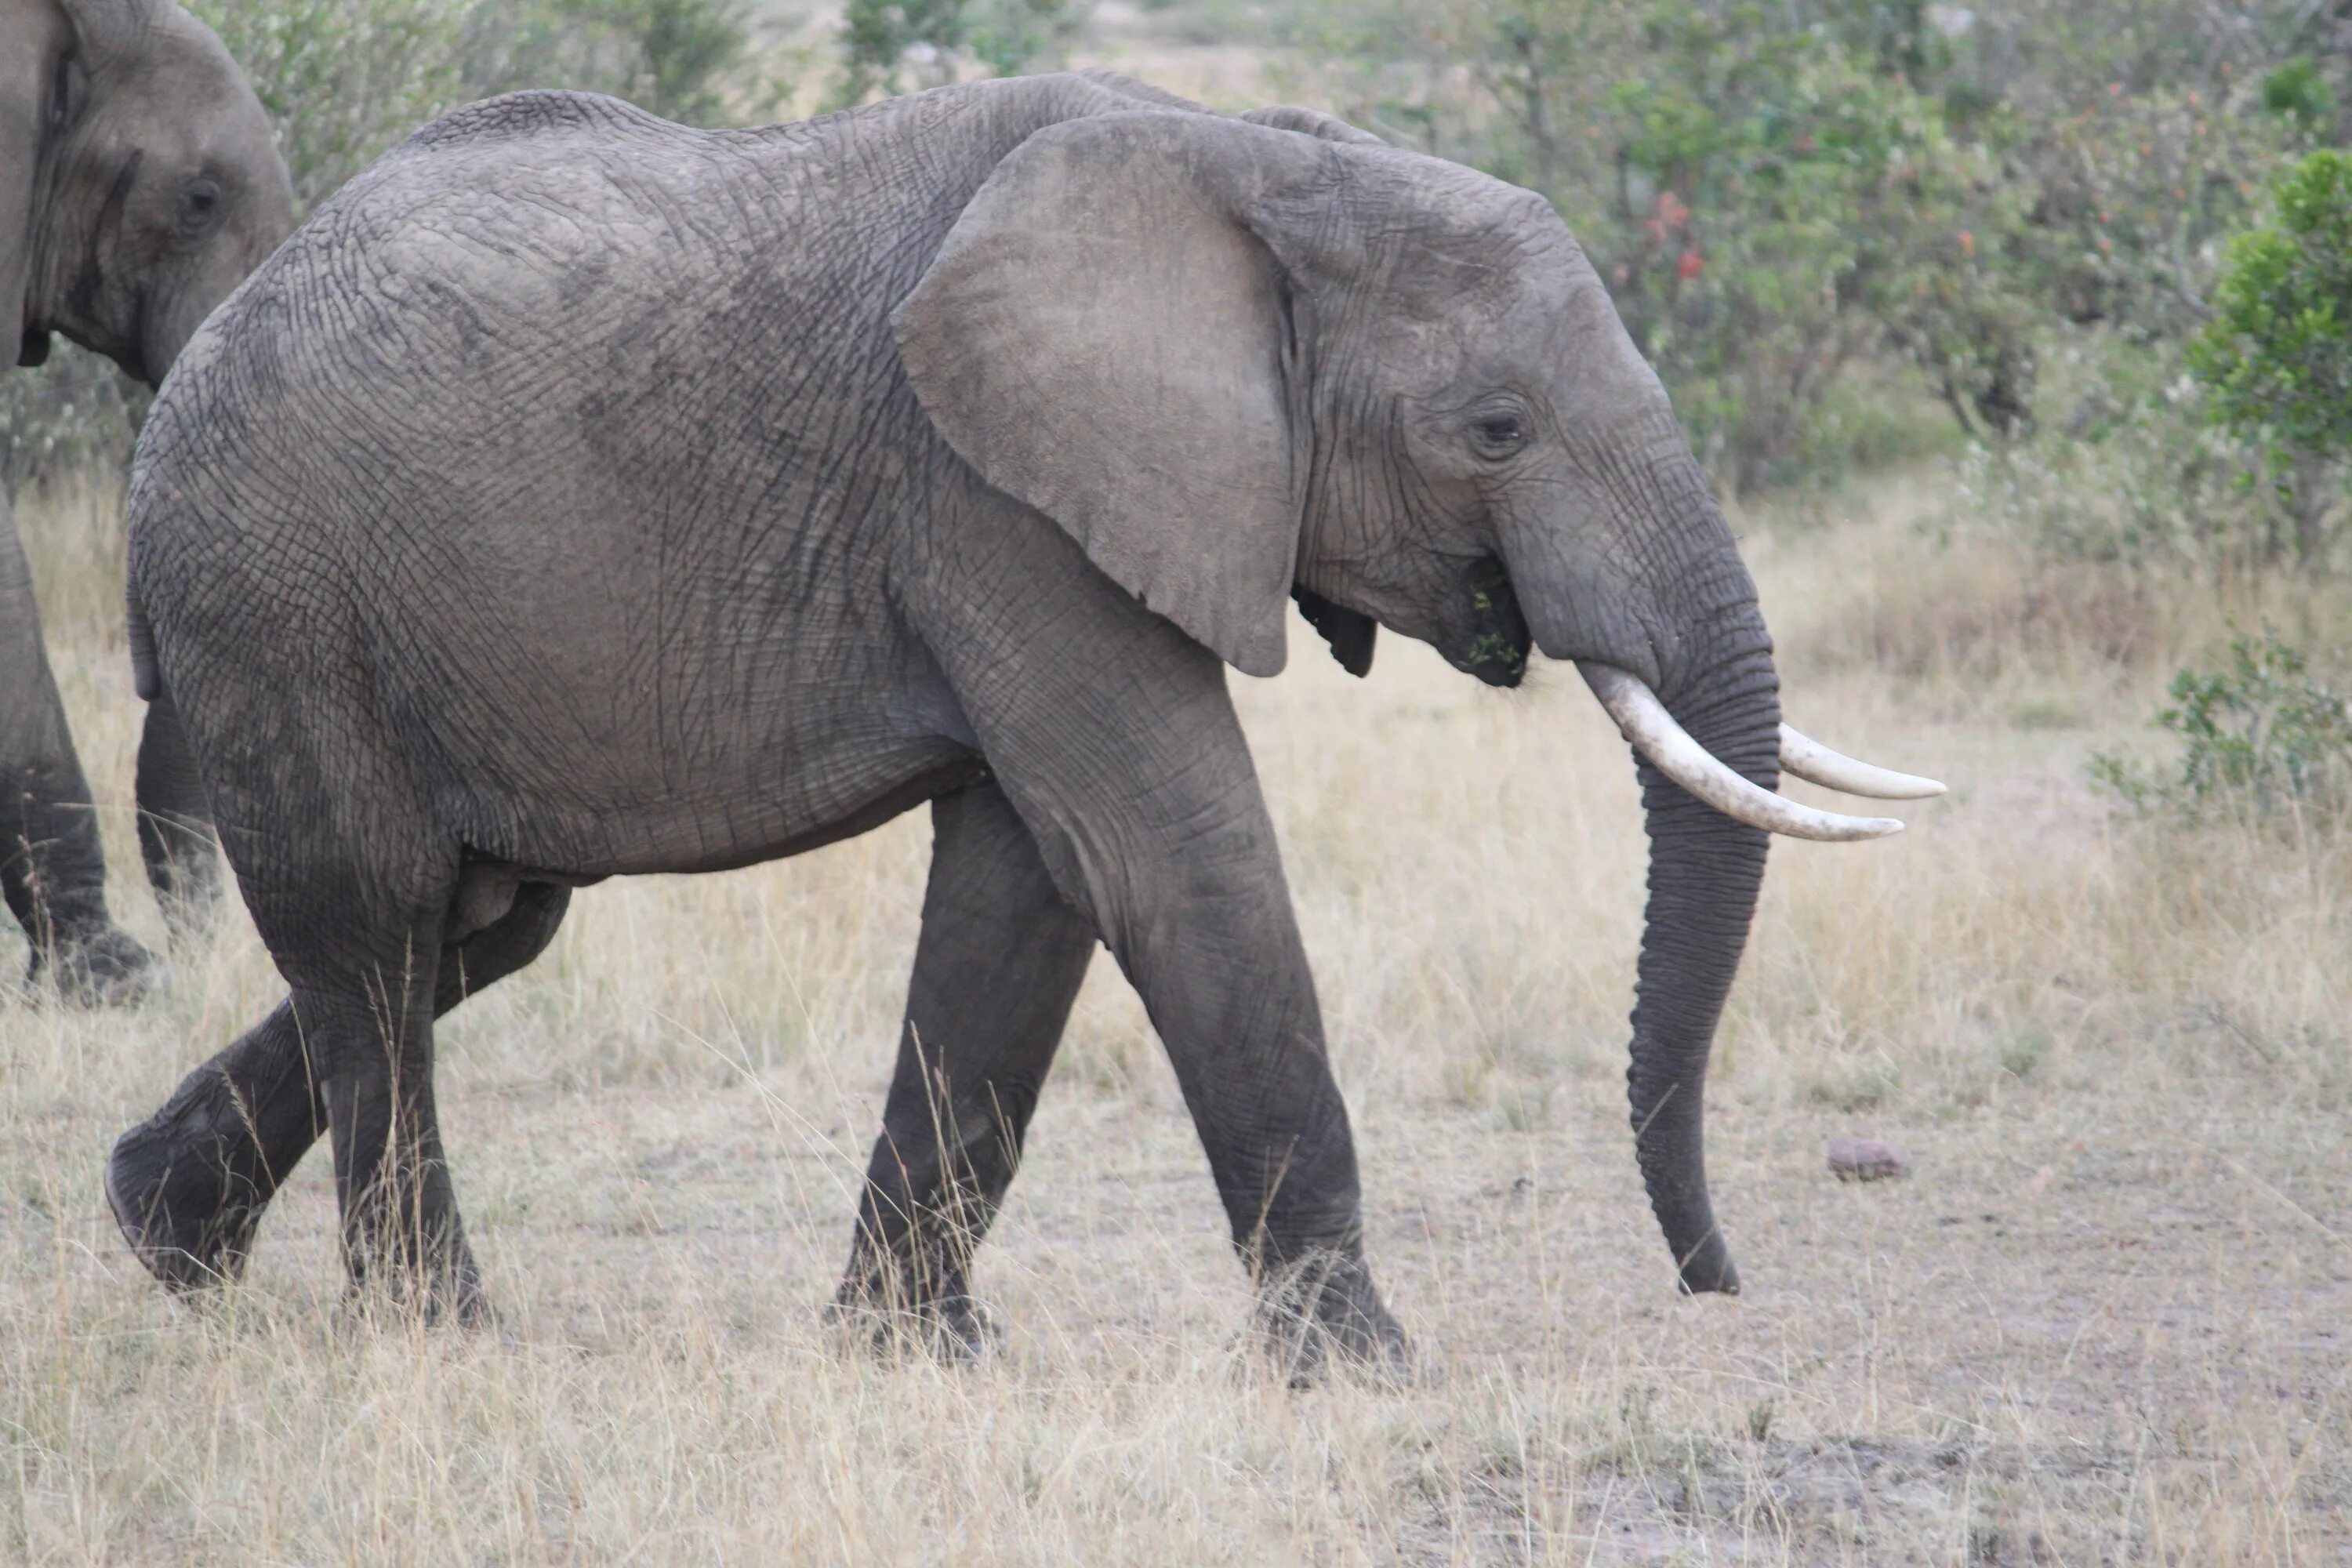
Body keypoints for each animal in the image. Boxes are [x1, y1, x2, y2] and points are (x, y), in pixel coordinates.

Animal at [106, 70, 1947, 1363]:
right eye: (1496, 427)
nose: (1714, 1284)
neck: (1261, 162)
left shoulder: (1027, 512)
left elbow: (1025, 895)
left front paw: (910, 1356)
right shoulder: (992, 493)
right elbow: (1170, 847)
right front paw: (1363, 1369)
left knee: (476, 926)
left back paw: (159, 1244)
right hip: (269, 590)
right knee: (375, 934)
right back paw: (439, 1335)